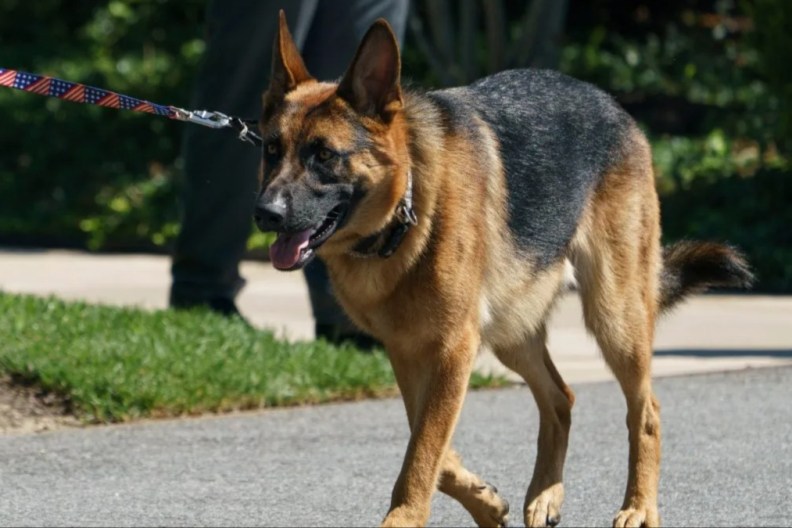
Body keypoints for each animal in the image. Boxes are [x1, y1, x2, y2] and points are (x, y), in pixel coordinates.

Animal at [255, 12, 756, 528]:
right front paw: (486, 501)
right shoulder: (409, 352)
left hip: (614, 319)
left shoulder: (452, 350)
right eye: (271, 150)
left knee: (646, 411)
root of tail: (610, 102)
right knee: (560, 399)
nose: (265, 214)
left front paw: (405, 517)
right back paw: (547, 493)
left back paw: (638, 506)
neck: (406, 211)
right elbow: (431, 448)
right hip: (512, 331)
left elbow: (422, 453)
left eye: (323, 155)